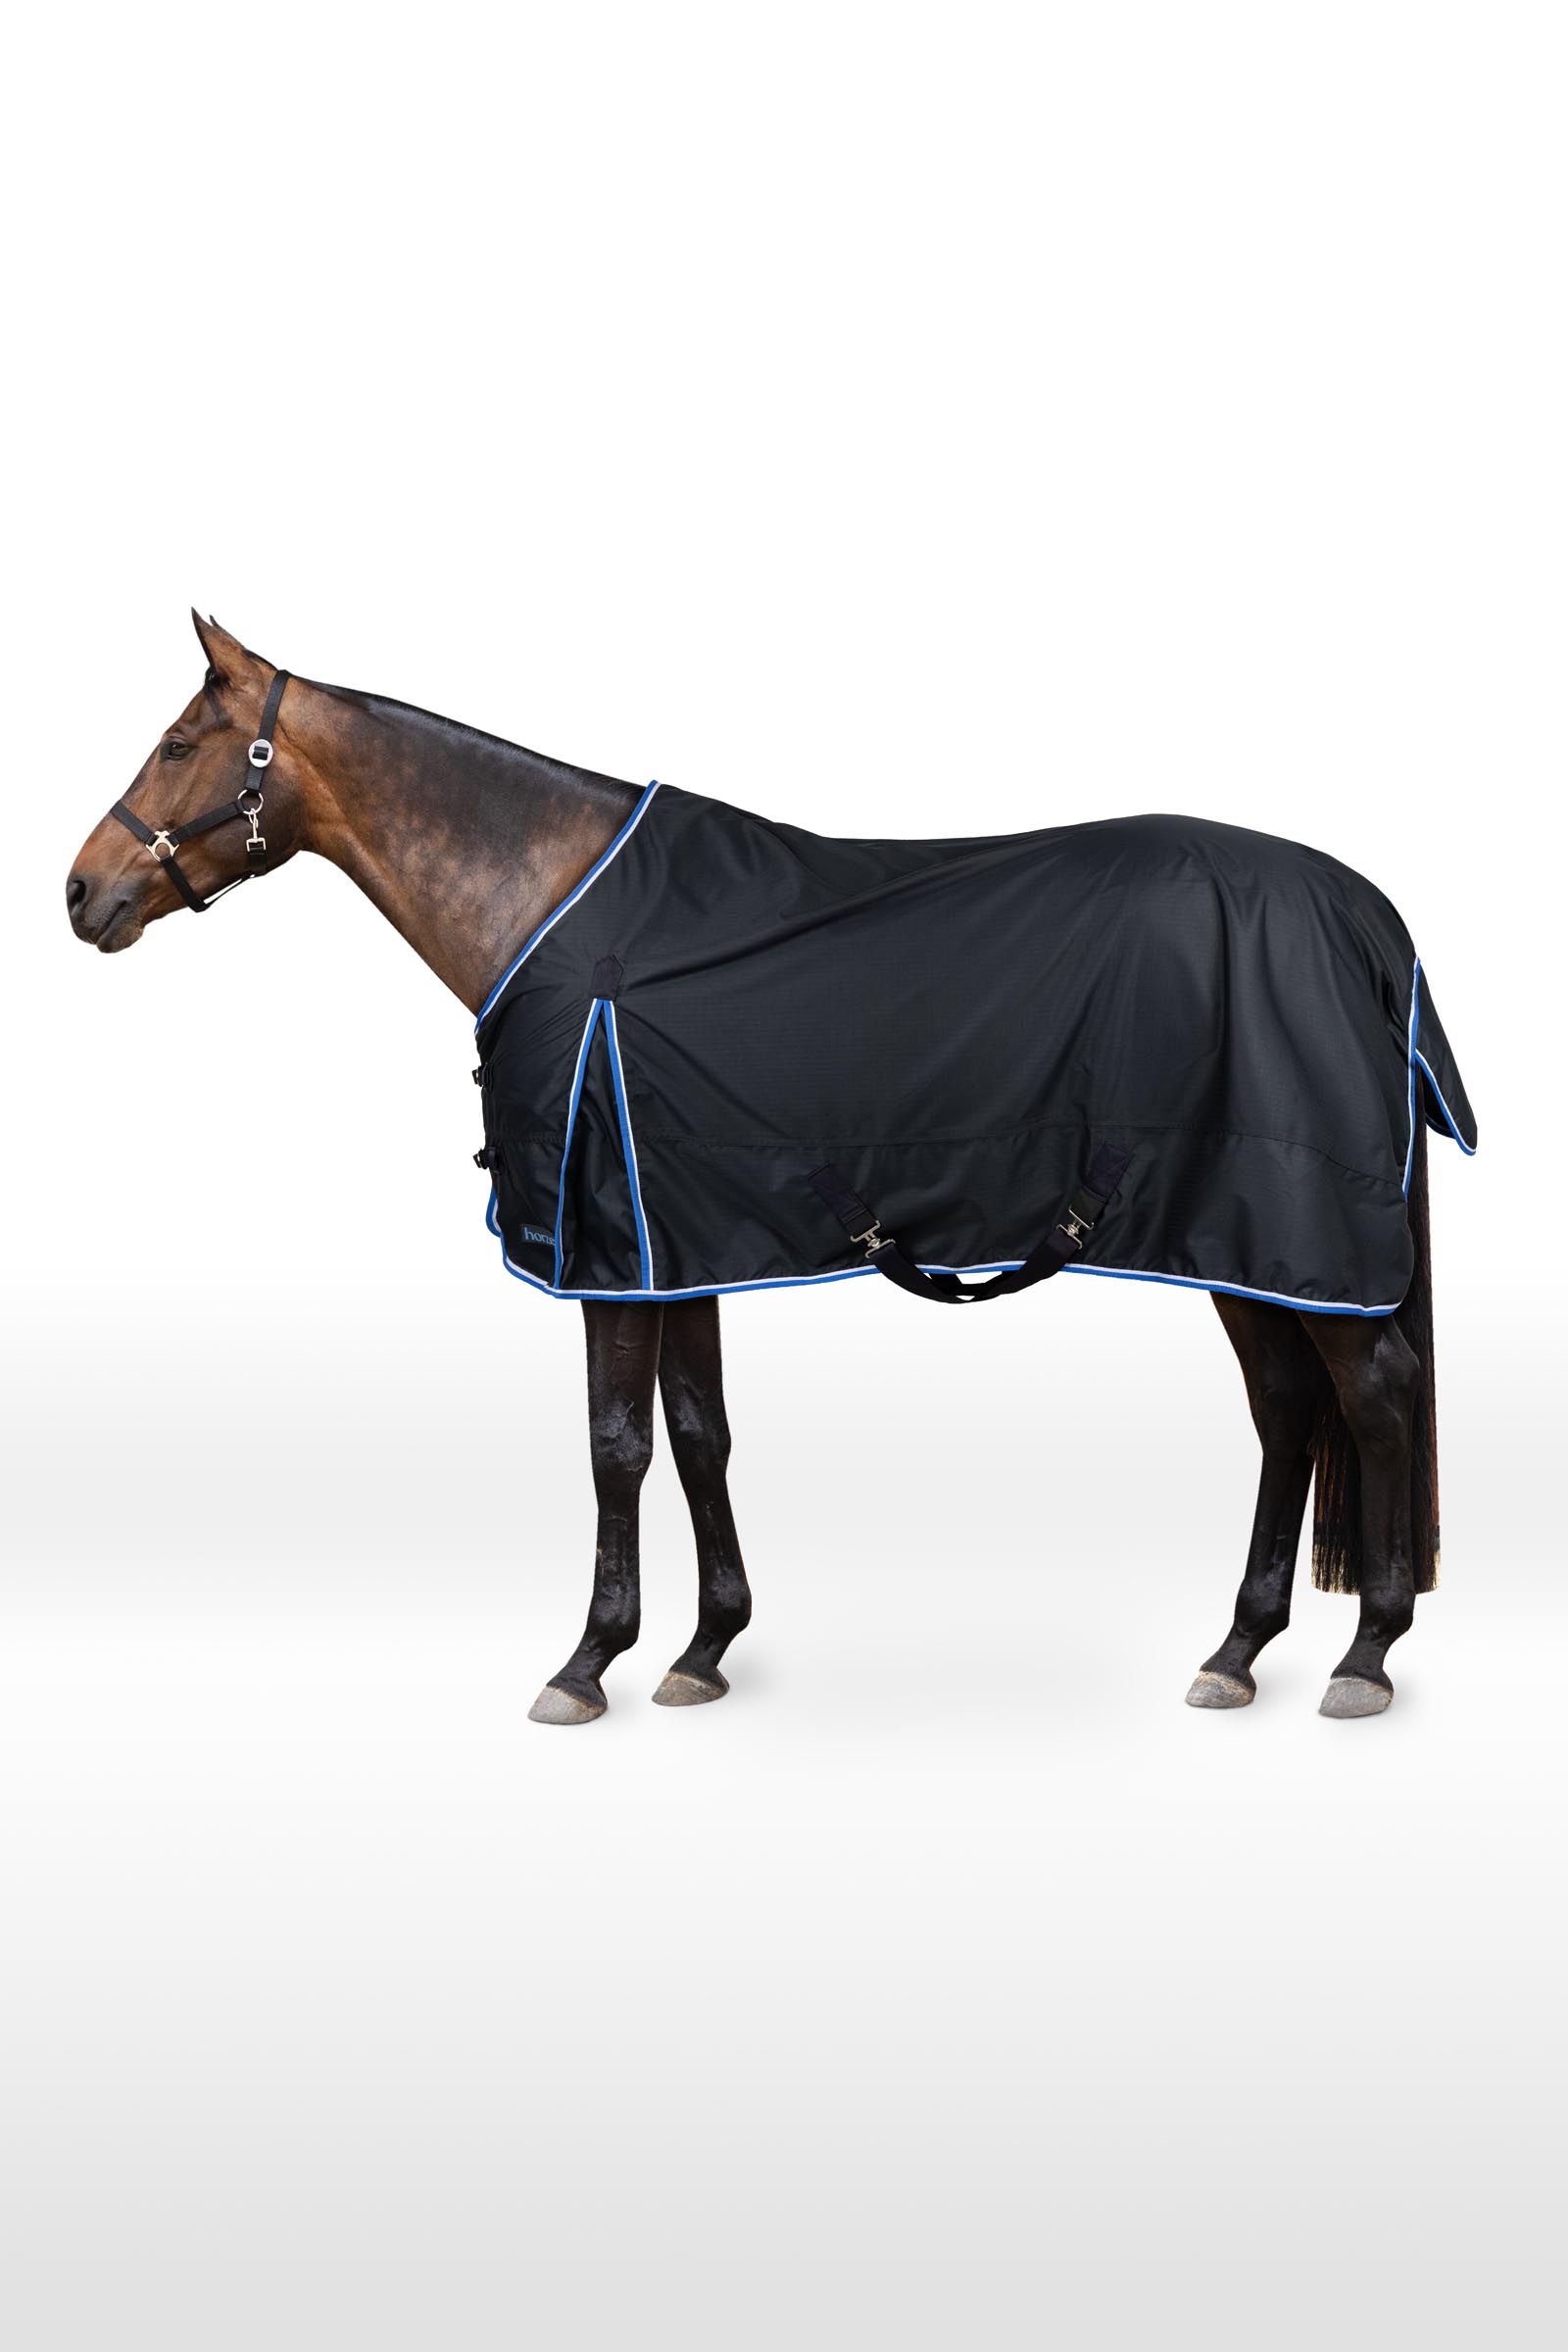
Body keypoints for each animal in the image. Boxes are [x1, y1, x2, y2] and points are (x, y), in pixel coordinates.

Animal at [66, 612, 1473, 1725]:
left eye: (180, 745)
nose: (81, 893)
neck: (551, 899)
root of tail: (1366, 918)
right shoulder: (676, 1243)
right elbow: (700, 1432)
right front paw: (704, 1648)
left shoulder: (612, 1254)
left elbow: (617, 1445)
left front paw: (588, 1662)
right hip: (1243, 1241)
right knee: (1288, 1408)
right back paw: (1239, 1649)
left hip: (1295, 1233)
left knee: (1376, 1396)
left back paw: (1366, 1654)